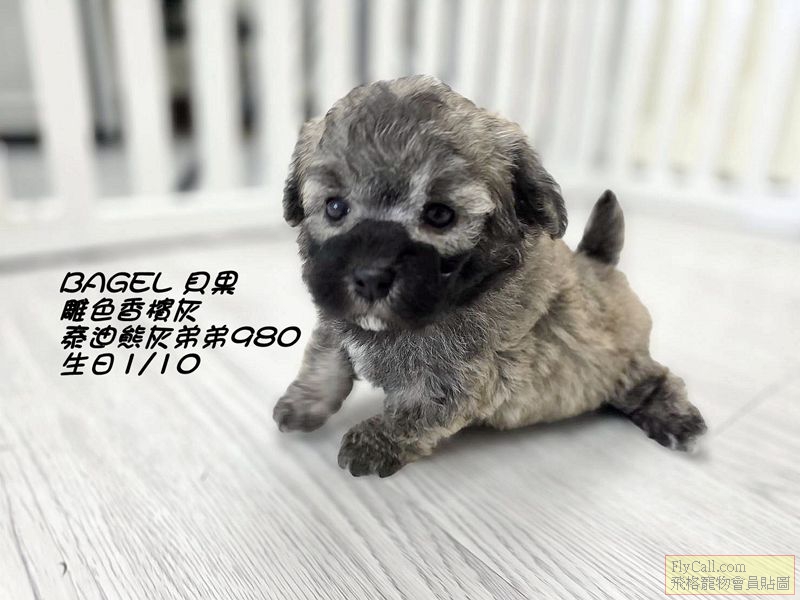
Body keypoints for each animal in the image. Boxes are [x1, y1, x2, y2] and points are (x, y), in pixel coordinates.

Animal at [273, 75, 706, 477]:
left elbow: (412, 413)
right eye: (334, 207)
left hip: (622, 364)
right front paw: (303, 403)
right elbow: (326, 357)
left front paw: (373, 441)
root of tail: (600, 263)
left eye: (440, 215)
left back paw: (679, 422)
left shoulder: (458, 379)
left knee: (654, 380)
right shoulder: (337, 317)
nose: (369, 277)